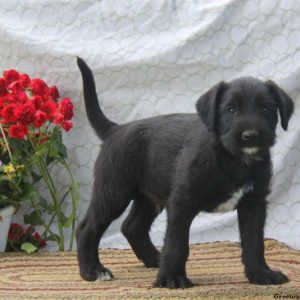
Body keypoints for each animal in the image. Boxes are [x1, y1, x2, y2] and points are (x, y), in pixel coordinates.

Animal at [75, 56, 292, 288]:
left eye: (267, 108)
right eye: (231, 109)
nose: (250, 136)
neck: (232, 159)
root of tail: (115, 129)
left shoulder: (254, 204)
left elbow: (254, 242)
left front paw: (261, 274)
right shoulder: (182, 202)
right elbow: (177, 243)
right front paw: (172, 277)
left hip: (148, 197)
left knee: (132, 227)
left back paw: (155, 259)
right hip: (113, 193)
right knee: (87, 228)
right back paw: (93, 271)